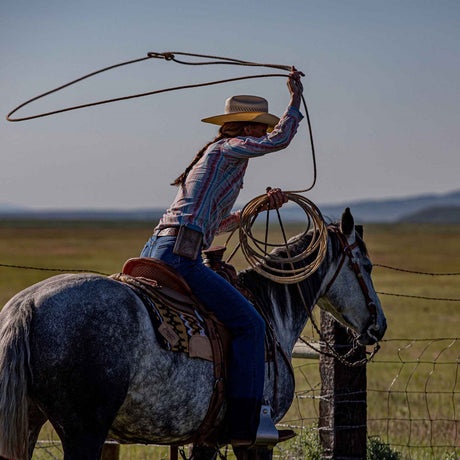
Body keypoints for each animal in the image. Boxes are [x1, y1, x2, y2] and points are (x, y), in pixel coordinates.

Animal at [0, 209, 384, 460]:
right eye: (366, 266)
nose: (378, 325)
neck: (269, 308)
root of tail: (27, 304)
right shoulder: (259, 439)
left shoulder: (206, 439)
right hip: (85, 432)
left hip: (31, 421)